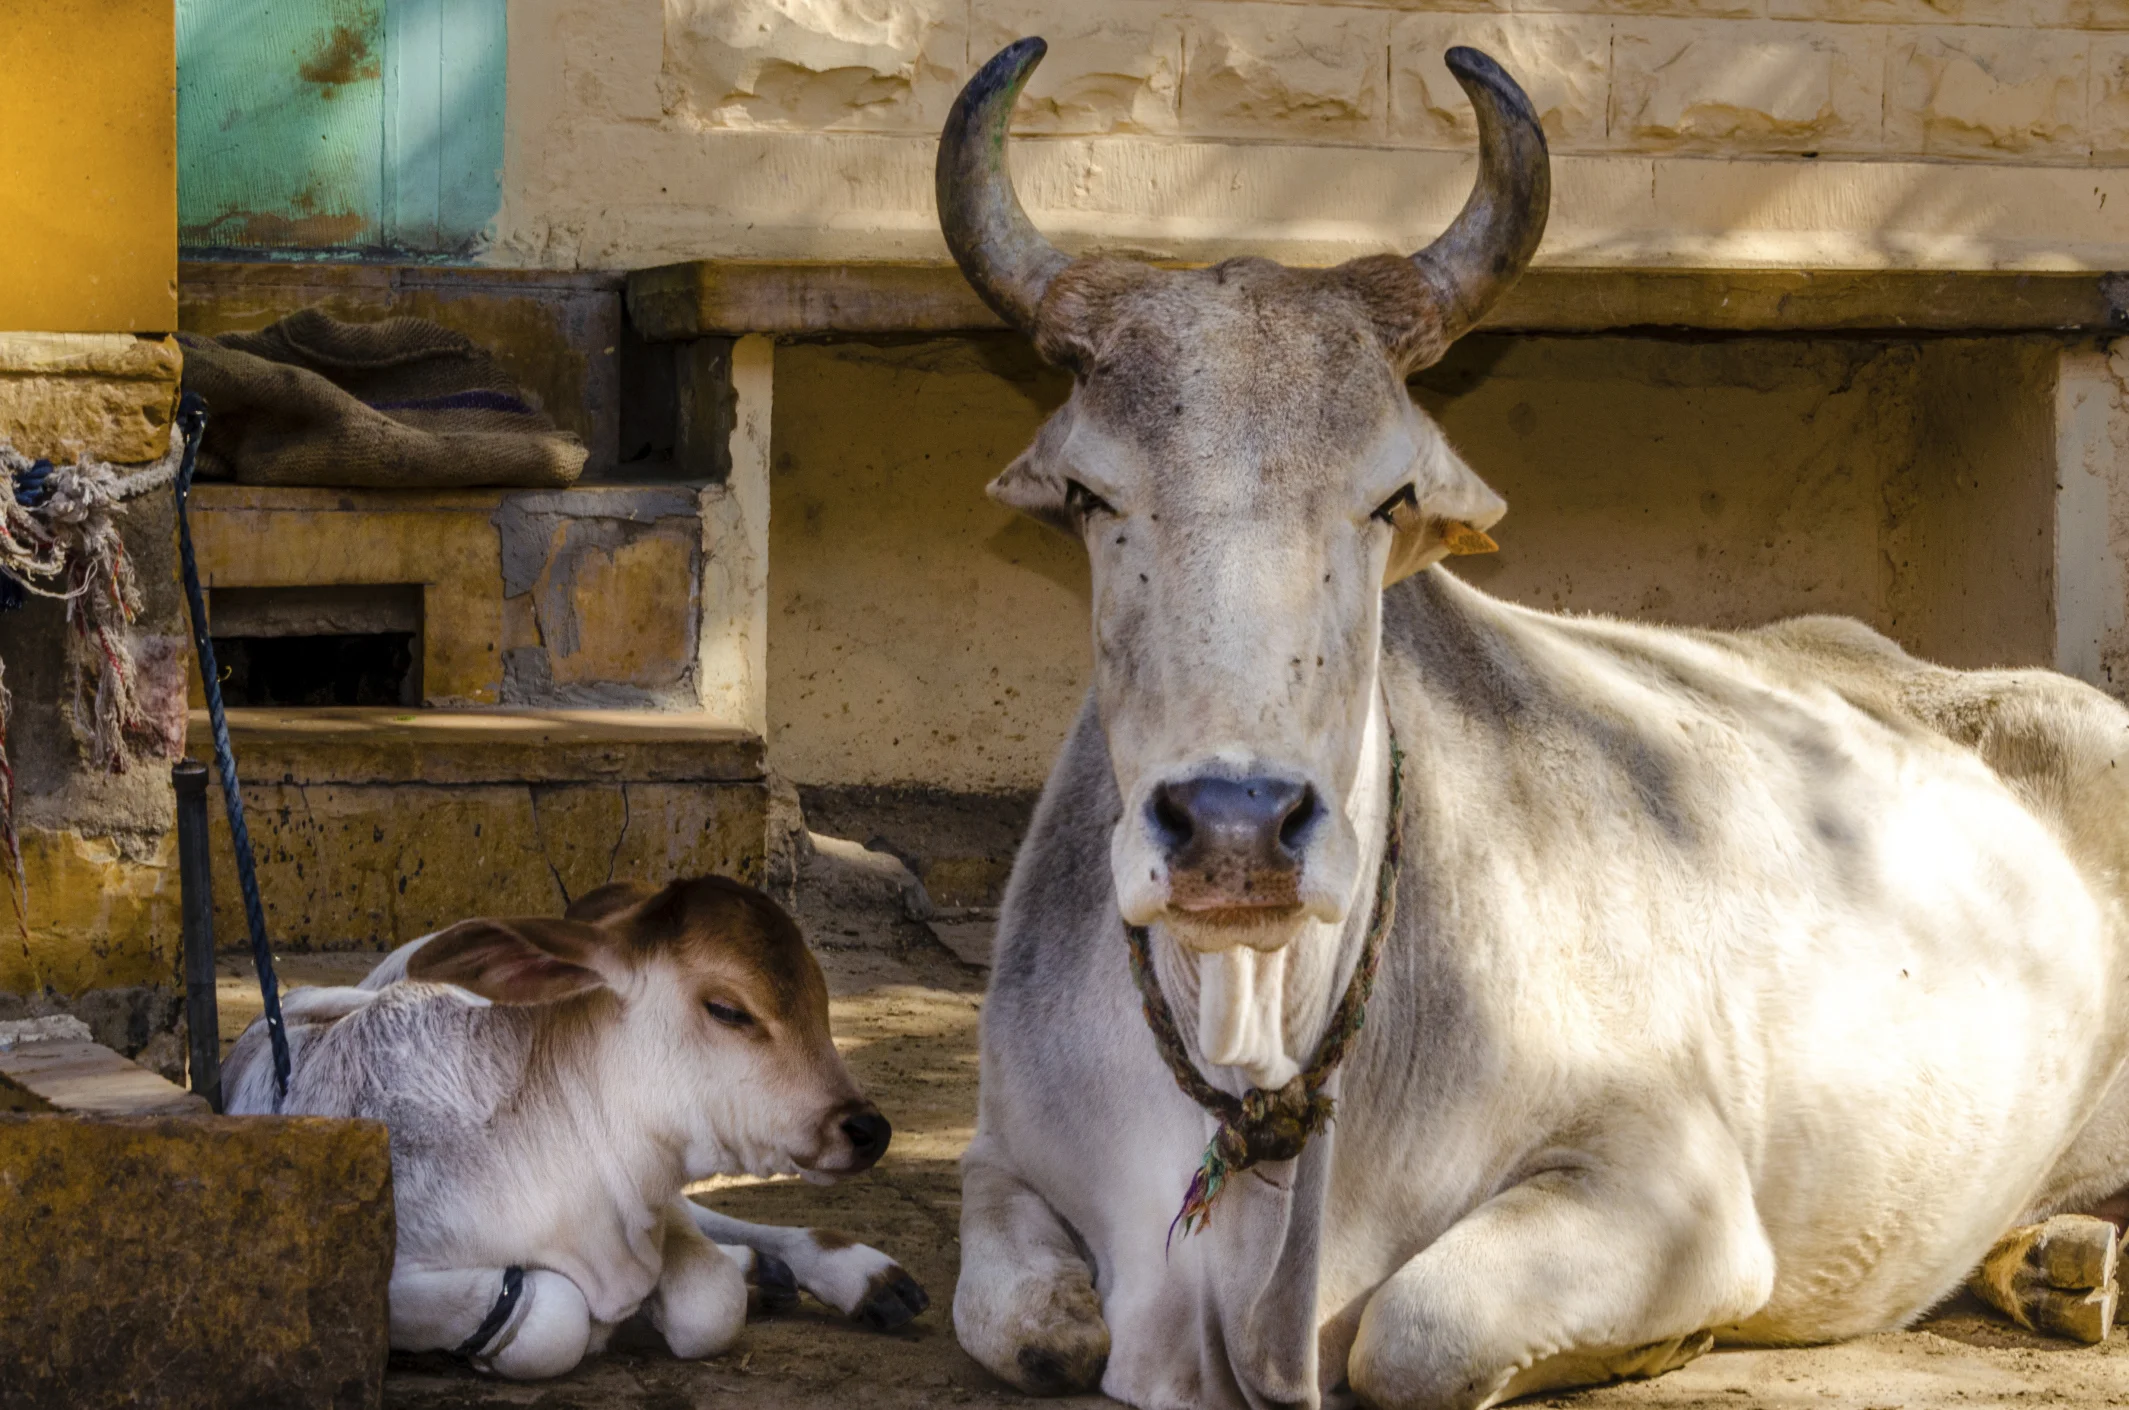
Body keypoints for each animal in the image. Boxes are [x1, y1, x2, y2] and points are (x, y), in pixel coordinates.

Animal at [220, 877, 928, 1388]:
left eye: (821, 997)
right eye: (727, 1009)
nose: (866, 1128)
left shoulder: (648, 1203)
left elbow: (710, 1299)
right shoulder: (374, 1281)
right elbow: (552, 1316)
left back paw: (852, 1275)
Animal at [941, 38, 2129, 1410]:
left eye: (1387, 496)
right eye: (1090, 495)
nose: (1234, 828)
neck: (1251, 1047)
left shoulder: (1666, 1182)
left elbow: (1416, 1335)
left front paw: (1668, 1342)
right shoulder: (1001, 1158)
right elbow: (1037, 1324)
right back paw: (2049, 1266)